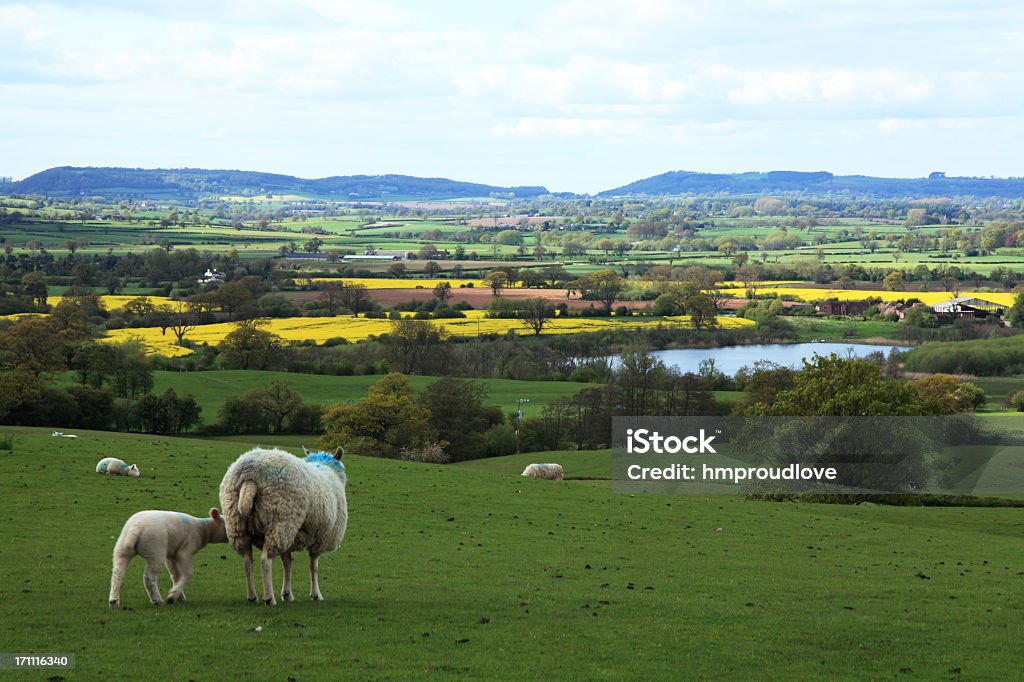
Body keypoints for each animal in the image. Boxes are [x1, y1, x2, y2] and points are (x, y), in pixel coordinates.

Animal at [219, 446, 348, 606]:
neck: (326, 469)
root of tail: (251, 475)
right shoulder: (320, 540)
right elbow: (313, 566)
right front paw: (316, 594)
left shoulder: (291, 540)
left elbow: (287, 564)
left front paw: (287, 594)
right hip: (281, 522)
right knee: (265, 560)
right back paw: (269, 598)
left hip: (238, 524)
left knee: (247, 561)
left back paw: (252, 596)